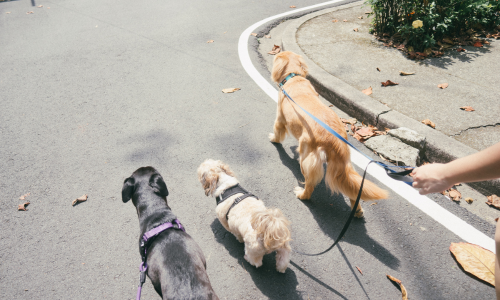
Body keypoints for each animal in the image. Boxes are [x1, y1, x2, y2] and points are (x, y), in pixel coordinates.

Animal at [270, 50, 386, 217]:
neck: (294, 78)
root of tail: (335, 140)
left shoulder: (280, 118)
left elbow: (277, 132)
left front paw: (273, 139)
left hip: (307, 160)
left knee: (309, 185)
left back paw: (302, 194)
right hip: (345, 167)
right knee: (353, 192)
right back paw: (357, 211)